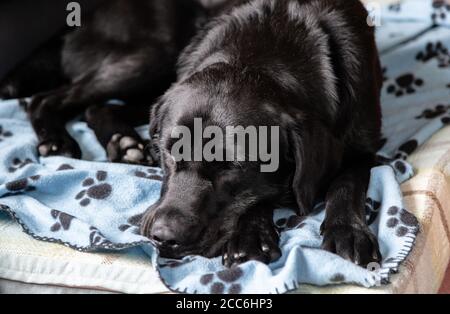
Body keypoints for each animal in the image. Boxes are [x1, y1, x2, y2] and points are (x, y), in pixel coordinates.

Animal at [0, 0, 384, 268]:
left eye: (234, 166)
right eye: (170, 152)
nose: (163, 238)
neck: (270, 53)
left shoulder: (365, 143)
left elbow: (347, 180)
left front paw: (347, 231)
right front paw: (252, 234)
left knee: (98, 107)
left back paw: (124, 144)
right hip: (152, 55)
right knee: (49, 98)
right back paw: (58, 140)